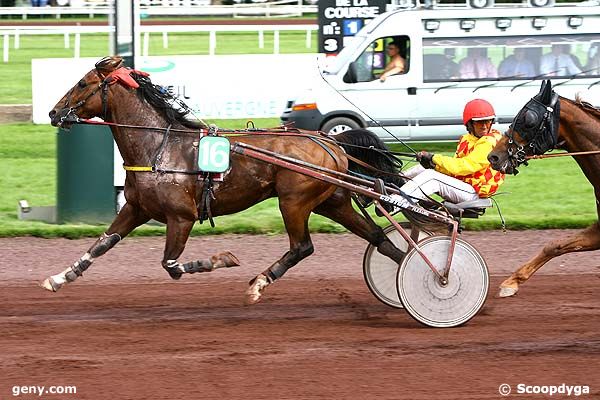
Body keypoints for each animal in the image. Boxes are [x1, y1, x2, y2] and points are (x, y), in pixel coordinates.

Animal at [43, 55, 408, 304]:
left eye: (82, 84)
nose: (53, 112)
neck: (158, 146)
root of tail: (329, 140)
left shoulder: (181, 217)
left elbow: (171, 264)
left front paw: (223, 259)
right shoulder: (136, 209)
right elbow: (101, 244)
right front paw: (60, 277)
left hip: (294, 201)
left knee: (302, 246)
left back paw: (260, 282)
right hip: (331, 201)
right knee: (379, 238)